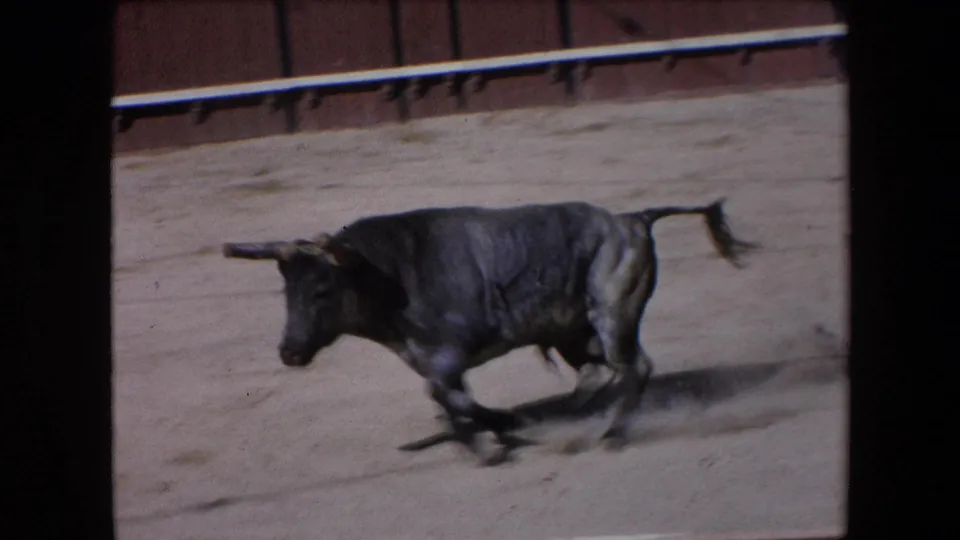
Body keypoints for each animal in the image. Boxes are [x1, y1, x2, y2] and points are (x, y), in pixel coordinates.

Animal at [222, 198, 757, 465]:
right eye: (287, 291)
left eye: (321, 291)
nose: (290, 352)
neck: (391, 275)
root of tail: (632, 219)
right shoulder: (434, 362)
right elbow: (449, 401)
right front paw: (491, 435)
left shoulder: (449, 355)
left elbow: (445, 396)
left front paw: (499, 432)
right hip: (574, 331)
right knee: (597, 374)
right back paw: (568, 420)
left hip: (612, 316)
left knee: (634, 368)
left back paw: (610, 435)